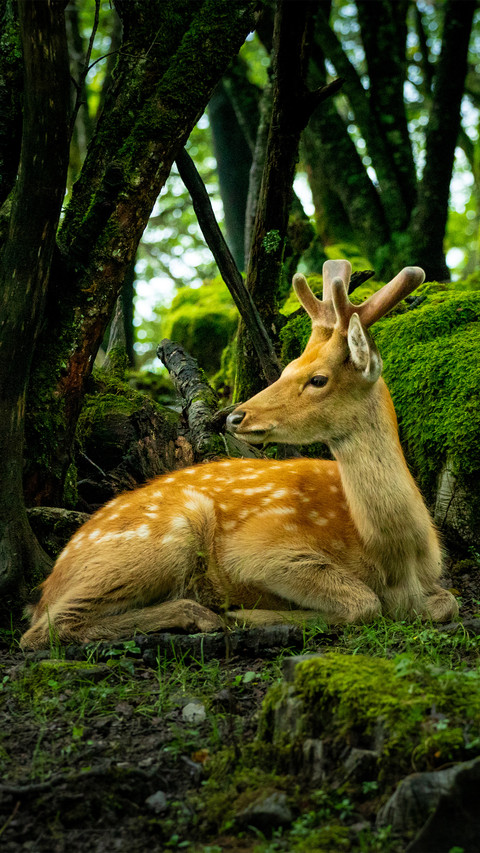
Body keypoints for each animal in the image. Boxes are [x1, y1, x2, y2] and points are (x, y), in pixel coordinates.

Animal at [20, 260, 458, 649]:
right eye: (286, 368)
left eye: (317, 379)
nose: (235, 415)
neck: (395, 556)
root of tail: (50, 580)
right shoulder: (260, 551)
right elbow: (364, 602)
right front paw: (249, 614)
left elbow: (447, 603)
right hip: (167, 535)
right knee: (43, 630)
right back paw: (200, 614)